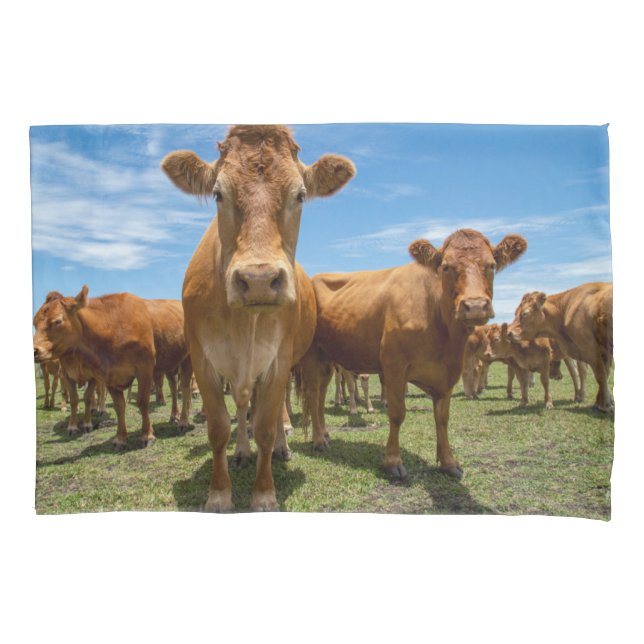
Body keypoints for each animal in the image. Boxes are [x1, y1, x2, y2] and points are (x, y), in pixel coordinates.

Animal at [33, 287, 158, 447]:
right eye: (34, 323)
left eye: (58, 321)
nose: (34, 350)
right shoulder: (69, 374)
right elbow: (76, 399)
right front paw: (73, 426)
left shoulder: (138, 370)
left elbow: (89, 397)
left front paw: (88, 424)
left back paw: (100, 409)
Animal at [162, 124, 355, 511]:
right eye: (218, 194)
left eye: (300, 195)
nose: (259, 280)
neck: (243, 326)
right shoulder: (203, 360)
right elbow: (220, 427)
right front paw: (219, 493)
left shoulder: (278, 360)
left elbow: (265, 426)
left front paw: (264, 493)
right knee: (242, 406)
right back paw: (241, 452)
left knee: (277, 408)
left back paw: (283, 445)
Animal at [299, 228, 527, 479]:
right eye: (446, 267)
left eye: (492, 265)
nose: (475, 306)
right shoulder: (394, 366)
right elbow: (397, 413)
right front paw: (393, 462)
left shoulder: (448, 372)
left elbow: (442, 418)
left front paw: (449, 462)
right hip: (311, 354)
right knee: (312, 393)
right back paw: (318, 440)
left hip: (327, 357)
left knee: (321, 394)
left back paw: (325, 433)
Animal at [507, 283, 613, 411]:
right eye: (515, 312)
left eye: (525, 313)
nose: (508, 333)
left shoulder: (590, 349)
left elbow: (601, 375)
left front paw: (605, 405)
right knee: (576, 372)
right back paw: (578, 395)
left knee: (581, 371)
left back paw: (581, 395)